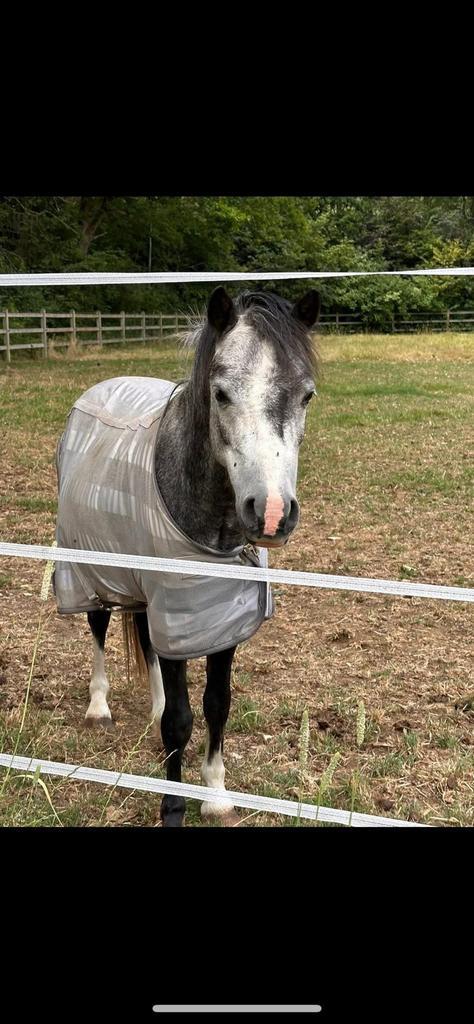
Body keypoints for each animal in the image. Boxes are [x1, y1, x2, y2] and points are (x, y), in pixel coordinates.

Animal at [53, 286, 320, 826]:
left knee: (147, 640)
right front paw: (172, 807)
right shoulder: (177, 609)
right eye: (221, 394)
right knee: (98, 626)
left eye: (307, 395)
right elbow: (180, 720)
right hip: (91, 567)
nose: (272, 514)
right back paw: (98, 707)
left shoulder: (217, 619)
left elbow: (217, 703)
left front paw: (215, 794)